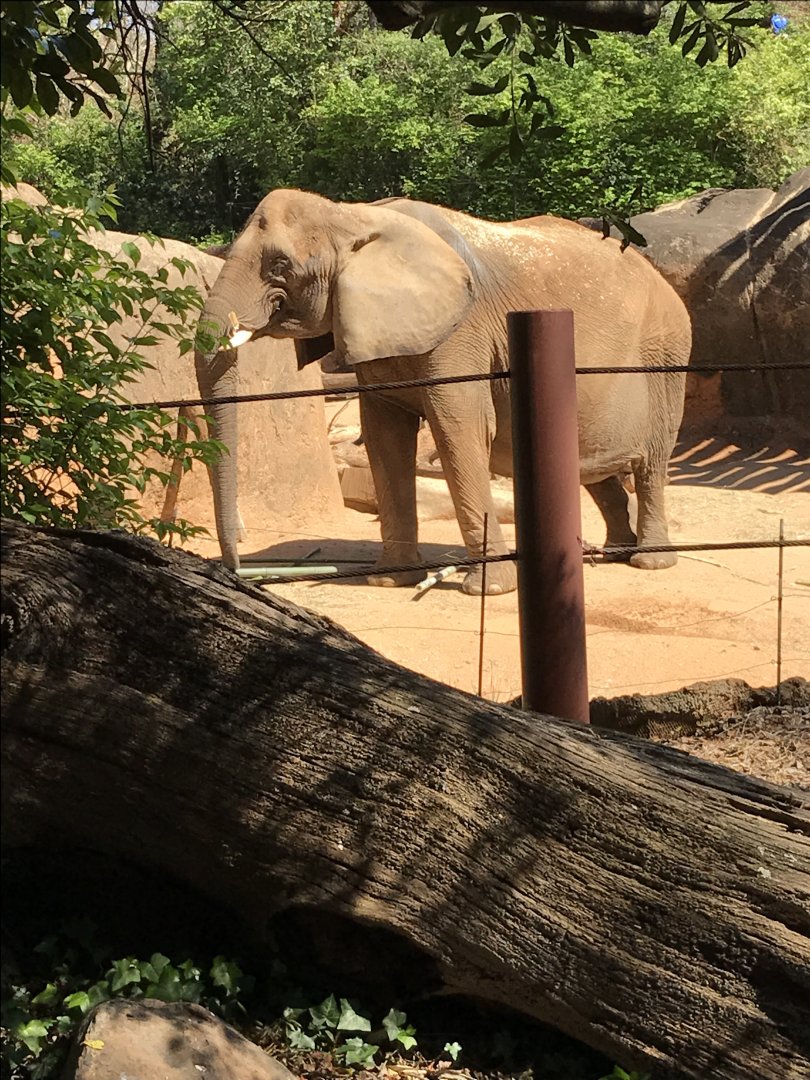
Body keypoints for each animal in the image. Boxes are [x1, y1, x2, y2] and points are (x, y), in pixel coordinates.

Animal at [195, 189, 691, 594]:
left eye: (279, 267)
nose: (237, 571)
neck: (352, 215)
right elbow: (385, 435)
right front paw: (388, 579)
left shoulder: (460, 331)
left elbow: (458, 430)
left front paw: (488, 589)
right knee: (596, 470)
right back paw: (611, 553)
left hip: (665, 357)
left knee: (652, 463)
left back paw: (649, 562)